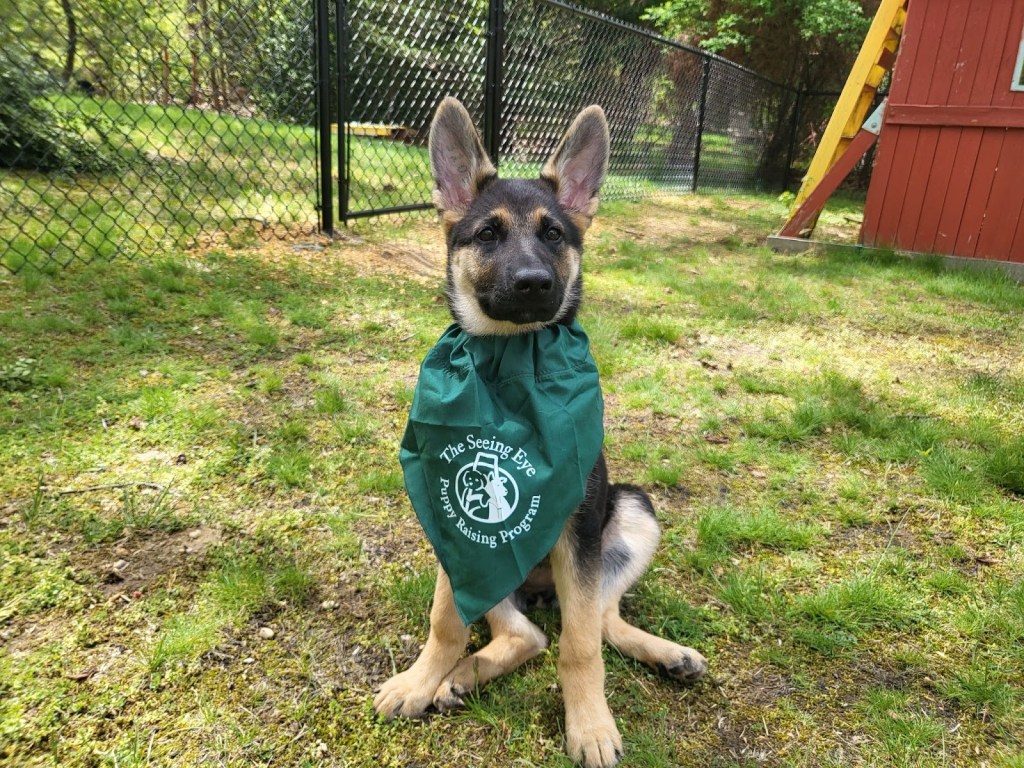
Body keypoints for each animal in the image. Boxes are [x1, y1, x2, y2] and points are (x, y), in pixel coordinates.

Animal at [374, 99, 704, 768]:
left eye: (554, 235)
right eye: (488, 235)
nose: (533, 282)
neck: (510, 364)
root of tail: (541, 589)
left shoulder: (581, 528)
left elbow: (580, 647)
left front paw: (590, 725)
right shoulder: (453, 526)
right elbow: (445, 621)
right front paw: (421, 681)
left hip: (631, 512)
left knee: (596, 622)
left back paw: (668, 655)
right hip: (481, 559)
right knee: (524, 634)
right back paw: (456, 678)